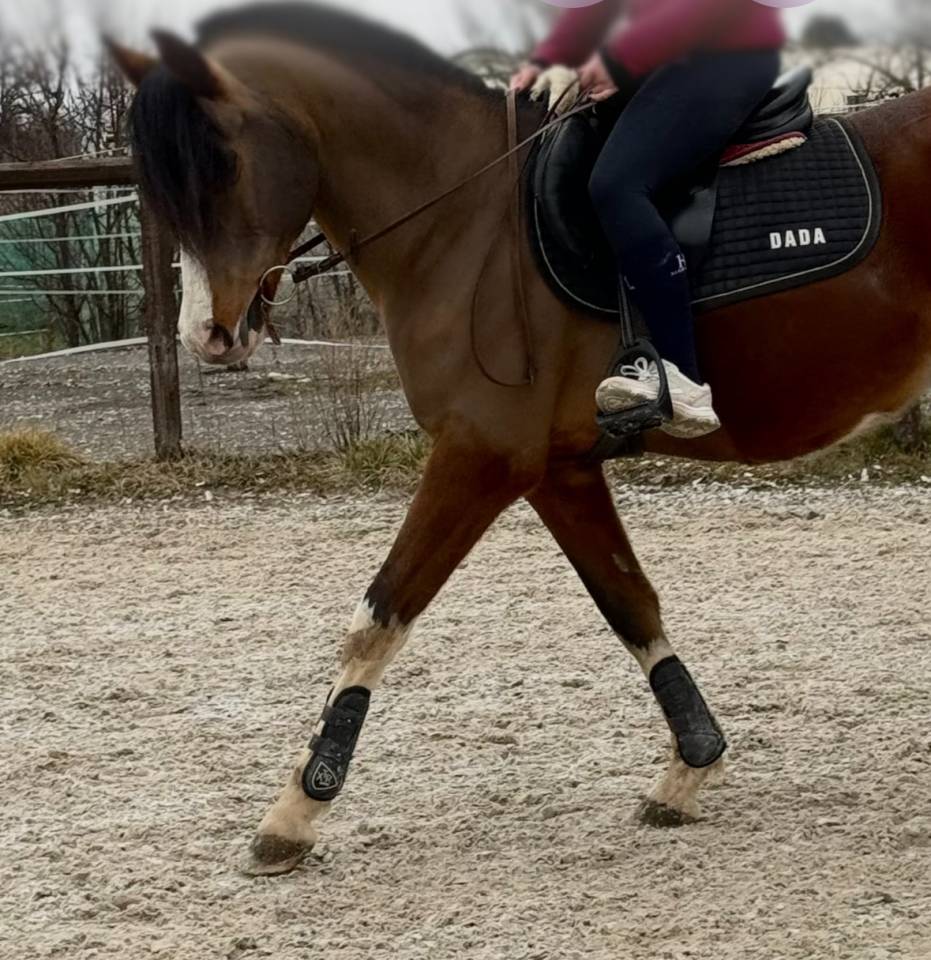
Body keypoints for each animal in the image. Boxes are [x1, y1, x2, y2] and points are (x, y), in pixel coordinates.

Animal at [110, 3, 931, 876]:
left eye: (223, 160)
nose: (208, 335)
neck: (461, 217)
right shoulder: (556, 472)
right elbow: (630, 605)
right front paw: (689, 769)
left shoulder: (479, 456)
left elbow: (378, 619)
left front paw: (294, 813)